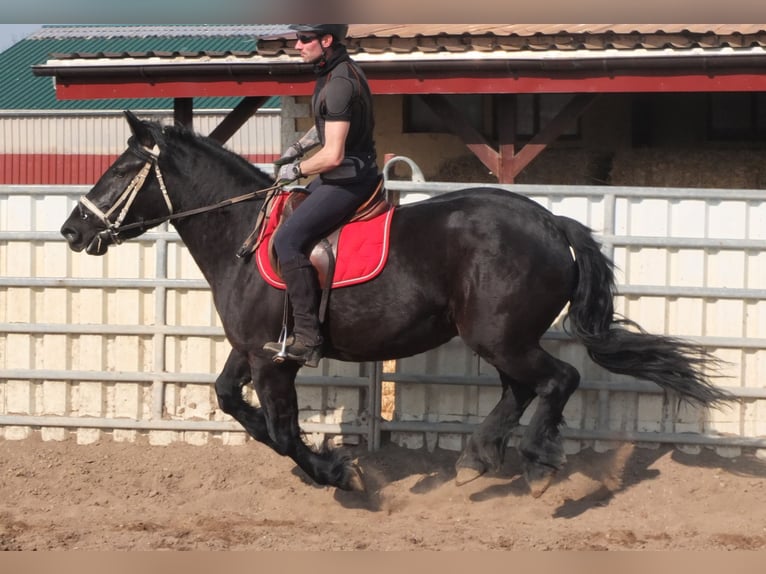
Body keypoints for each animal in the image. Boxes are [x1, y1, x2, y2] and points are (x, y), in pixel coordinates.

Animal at [60, 111, 732, 496]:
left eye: (119, 170)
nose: (72, 230)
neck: (244, 235)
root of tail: (549, 220)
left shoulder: (275, 361)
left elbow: (281, 429)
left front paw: (335, 473)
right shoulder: (252, 349)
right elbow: (230, 401)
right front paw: (325, 465)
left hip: (500, 335)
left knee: (556, 380)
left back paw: (537, 465)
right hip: (499, 338)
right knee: (522, 388)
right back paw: (478, 458)